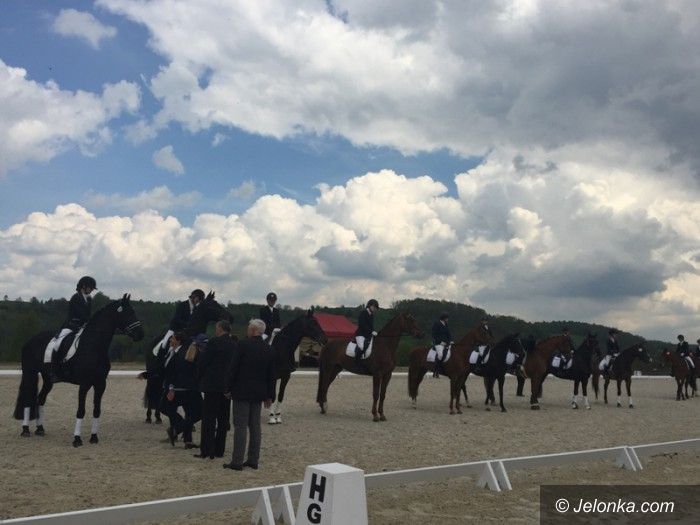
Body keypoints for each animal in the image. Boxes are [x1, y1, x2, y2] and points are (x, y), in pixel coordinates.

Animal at [13, 294, 145, 446]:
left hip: (48, 380)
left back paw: (40, 429)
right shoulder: (84, 384)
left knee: (40, 399)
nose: (140, 334)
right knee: (28, 400)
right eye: (128, 313)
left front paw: (94, 437)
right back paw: (25, 430)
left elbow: (96, 410)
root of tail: (30, 341)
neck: (94, 347)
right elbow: (81, 410)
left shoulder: (100, 384)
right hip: (30, 373)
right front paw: (77, 439)